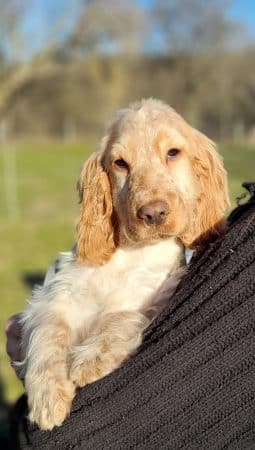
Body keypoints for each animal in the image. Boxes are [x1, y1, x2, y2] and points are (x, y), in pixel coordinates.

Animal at [18, 98, 229, 428]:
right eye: (120, 163)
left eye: (173, 153)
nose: (153, 213)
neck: (132, 252)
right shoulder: (55, 296)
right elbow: (48, 333)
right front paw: (48, 398)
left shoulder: (154, 297)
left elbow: (122, 317)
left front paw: (90, 360)